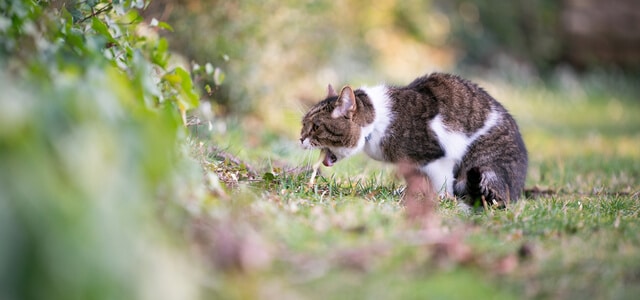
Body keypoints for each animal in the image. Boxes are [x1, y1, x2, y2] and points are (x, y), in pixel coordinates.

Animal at [302, 73, 528, 209]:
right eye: (303, 124)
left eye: (315, 127)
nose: (301, 138)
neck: (377, 122)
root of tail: (518, 188)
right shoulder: (411, 165)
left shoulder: (438, 158)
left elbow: (442, 185)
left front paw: (439, 200)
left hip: (484, 167)